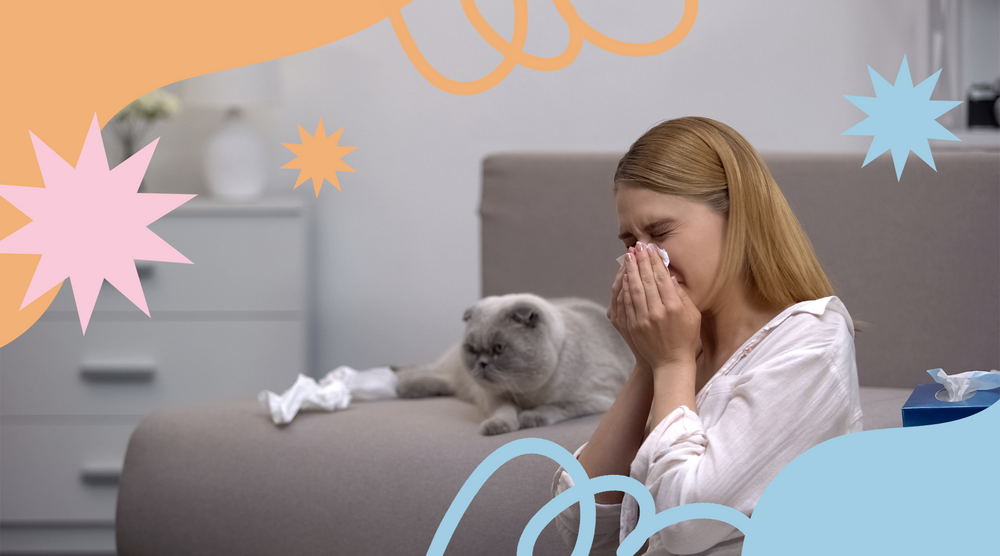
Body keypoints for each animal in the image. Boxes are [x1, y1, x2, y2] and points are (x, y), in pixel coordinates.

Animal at [390, 294, 632, 436]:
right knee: (434, 372)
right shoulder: (493, 395)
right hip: (460, 374)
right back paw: (401, 385)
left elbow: (554, 407)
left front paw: (529, 418)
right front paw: (498, 427)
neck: (527, 394)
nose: (482, 363)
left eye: (498, 349)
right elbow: (505, 411)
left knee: (445, 381)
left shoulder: (594, 400)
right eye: (473, 349)